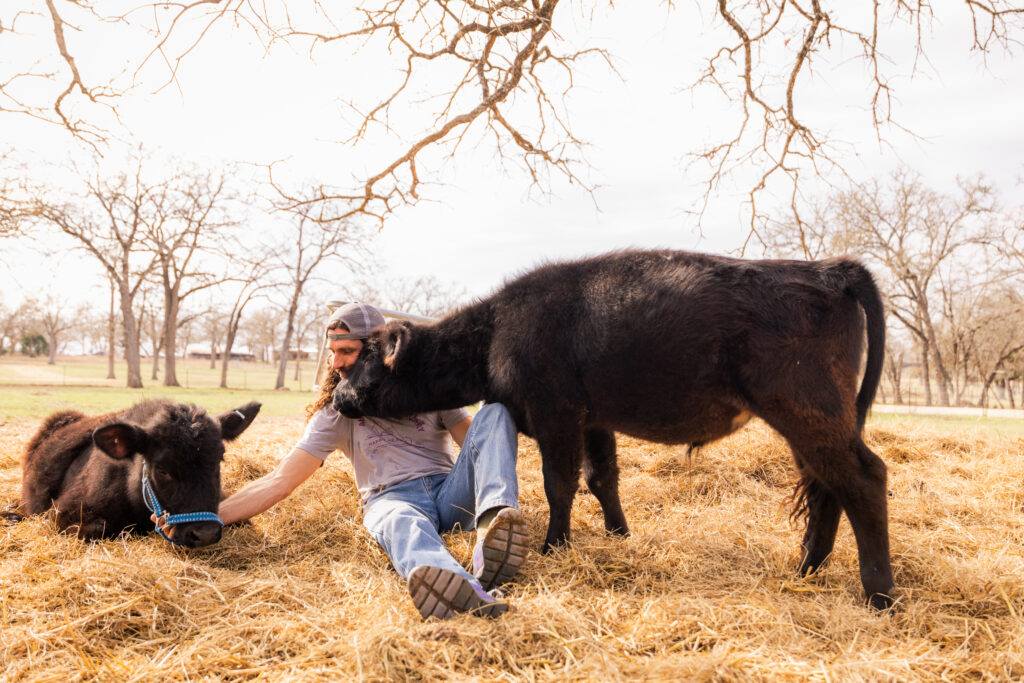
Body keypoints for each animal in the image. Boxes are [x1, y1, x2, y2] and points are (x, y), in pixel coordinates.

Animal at [331, 250, 895, 609]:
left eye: (368, 358)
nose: (338, 397)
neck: (497, 331)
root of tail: (827, 269)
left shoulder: (557, 417)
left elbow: (560, 484)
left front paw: (555, 546)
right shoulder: (594, 421)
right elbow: (602, 478)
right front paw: (619, 536)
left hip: (808, 411)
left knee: (864, 480)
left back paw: (880, 595)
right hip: (809, 425)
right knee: (826, 489)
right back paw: (805, 572)